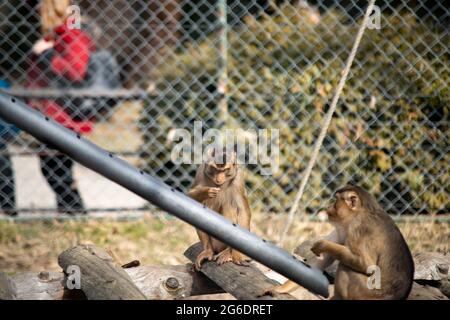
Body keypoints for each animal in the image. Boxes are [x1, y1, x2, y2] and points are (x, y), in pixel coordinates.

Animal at [266, 185, 414, 300]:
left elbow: (367, 265)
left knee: (346, 266)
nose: (328, 206)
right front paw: (282, 289)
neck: (358, 213)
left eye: (336, 200)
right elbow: (316, 264)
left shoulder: (359, 228)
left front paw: (322, 245)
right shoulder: (341, 228)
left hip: (367, 293)